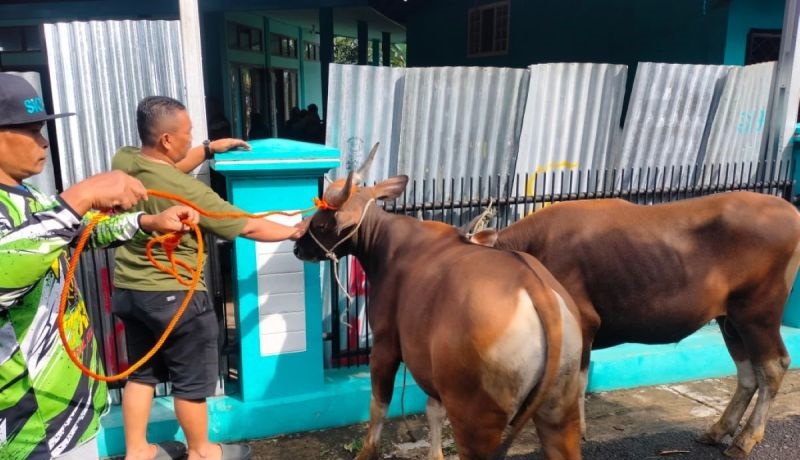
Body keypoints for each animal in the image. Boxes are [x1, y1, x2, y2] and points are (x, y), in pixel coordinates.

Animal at [292, 169, 580, 460]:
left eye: (320, 225)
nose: (298, 248)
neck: (388, 246)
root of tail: (538, 291)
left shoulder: (385, 346)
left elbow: (379, 404)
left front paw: (367, 452)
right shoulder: (432, 370)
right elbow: (433, 411)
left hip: (476, 423)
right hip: (559, 411)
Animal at [472, 190, 800, 456]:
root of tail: (790, 212)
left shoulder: (584, 324)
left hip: (757, 313)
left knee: (772, 366)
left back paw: (746, 439)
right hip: (730, 318)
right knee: (747, 371)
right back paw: (719, 430)